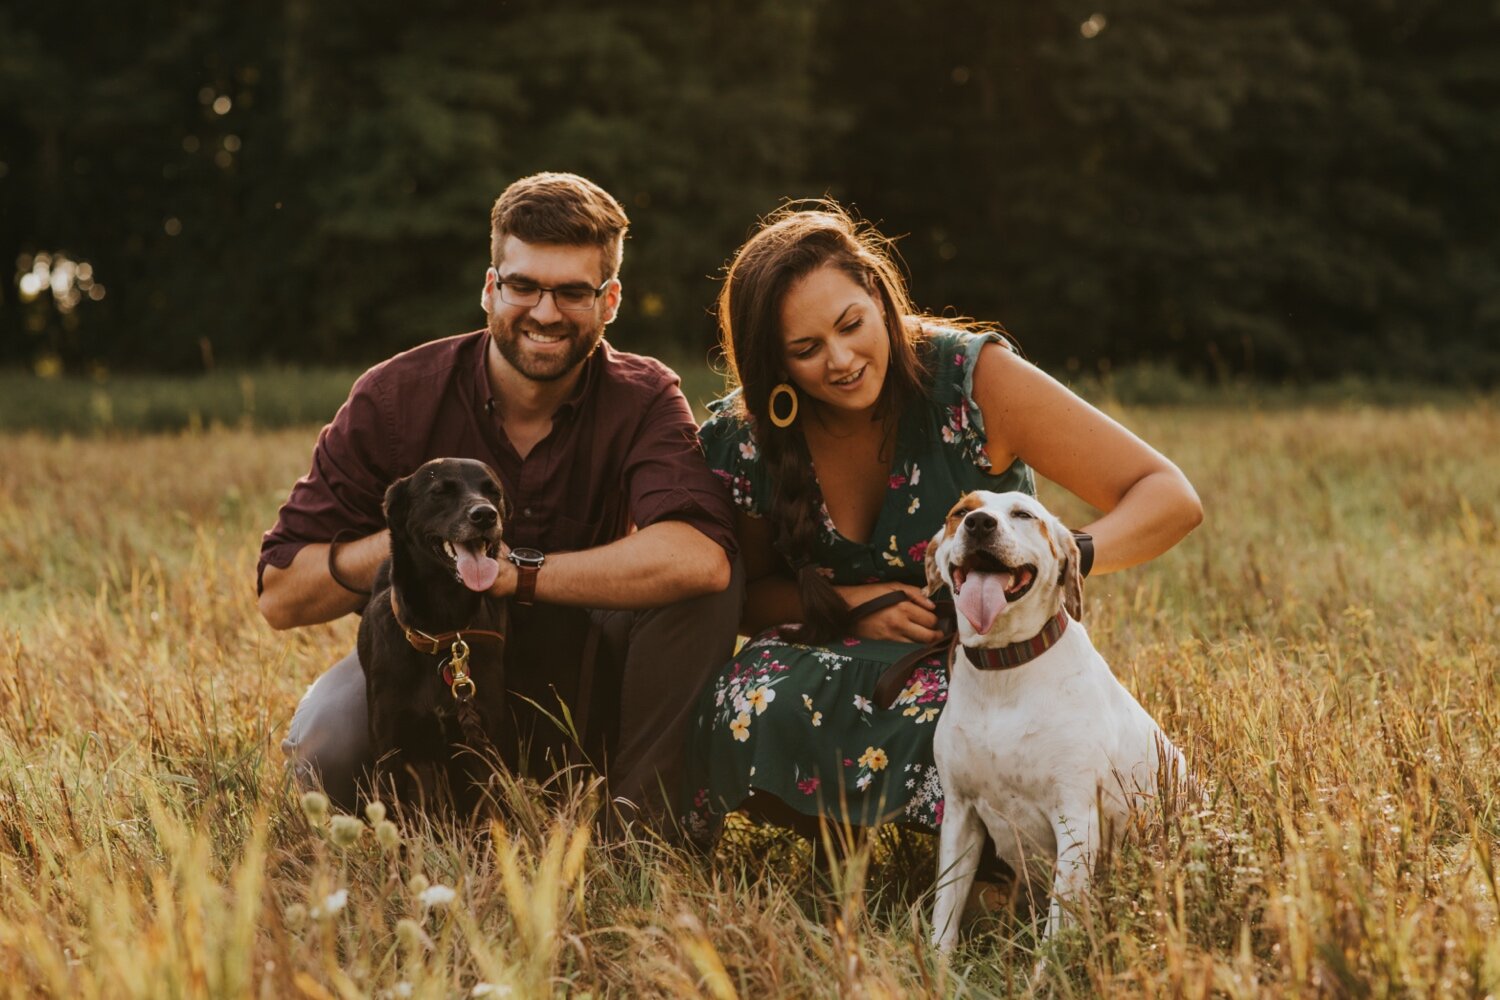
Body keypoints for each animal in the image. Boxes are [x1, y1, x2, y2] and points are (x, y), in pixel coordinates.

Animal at [358, 458, 516, 815]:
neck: (442, 632)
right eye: (440, 492)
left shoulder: (485, 744)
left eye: (493, 491)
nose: (485, 515)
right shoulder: (390, 750)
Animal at [924, 488, 1182, 953]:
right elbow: (944, 917)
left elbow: (1055, 936)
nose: (979, 523)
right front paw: (936, 965)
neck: (1004, 668)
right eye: (960, 512)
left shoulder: (1076, 821)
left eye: (1023, 514)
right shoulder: (960, 815)